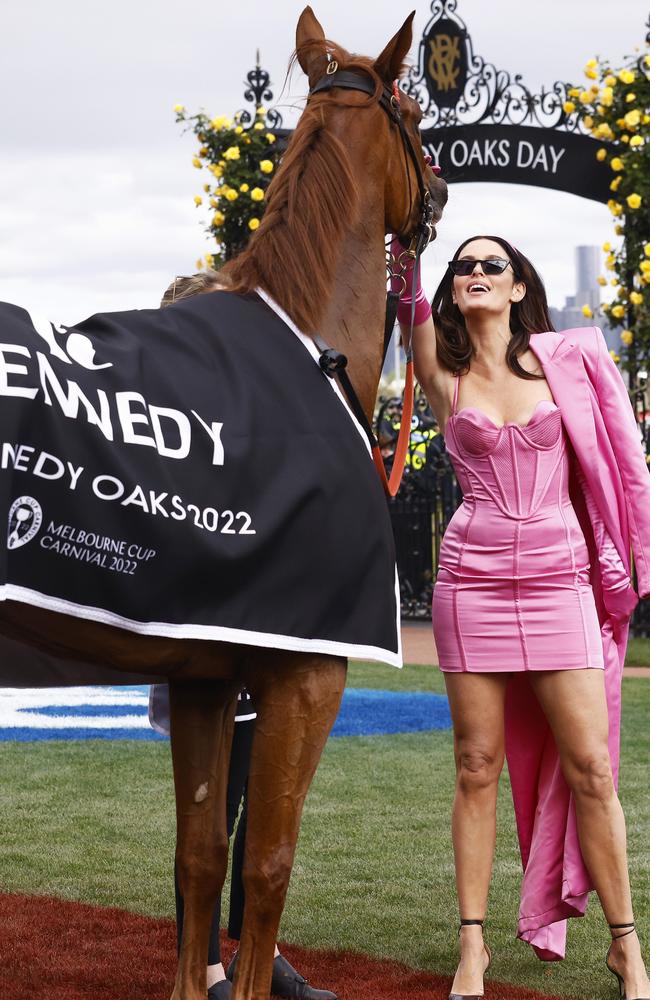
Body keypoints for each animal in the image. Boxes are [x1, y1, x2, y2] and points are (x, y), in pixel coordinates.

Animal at [0, 7, 446, 1000]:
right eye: (413, 113)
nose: (439, 190)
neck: (307, 341)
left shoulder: (203, 675)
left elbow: (201, 856)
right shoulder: (307, 672)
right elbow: (269, 864)